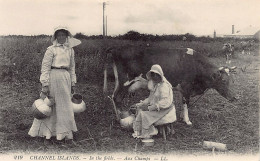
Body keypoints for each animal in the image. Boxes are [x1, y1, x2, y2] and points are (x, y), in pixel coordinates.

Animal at [103, 45, 236, 124]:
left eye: (232, 80)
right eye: (224, 81)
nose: (235, 97)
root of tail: (116, 48)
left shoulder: (183, 90)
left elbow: (184, 104)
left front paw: (182, 117)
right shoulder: (187, 87)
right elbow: (186, 104)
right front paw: (187, 121)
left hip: (120, 82)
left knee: (113, 97)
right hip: (125, 81)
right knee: (116, 98)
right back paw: (121, 118)